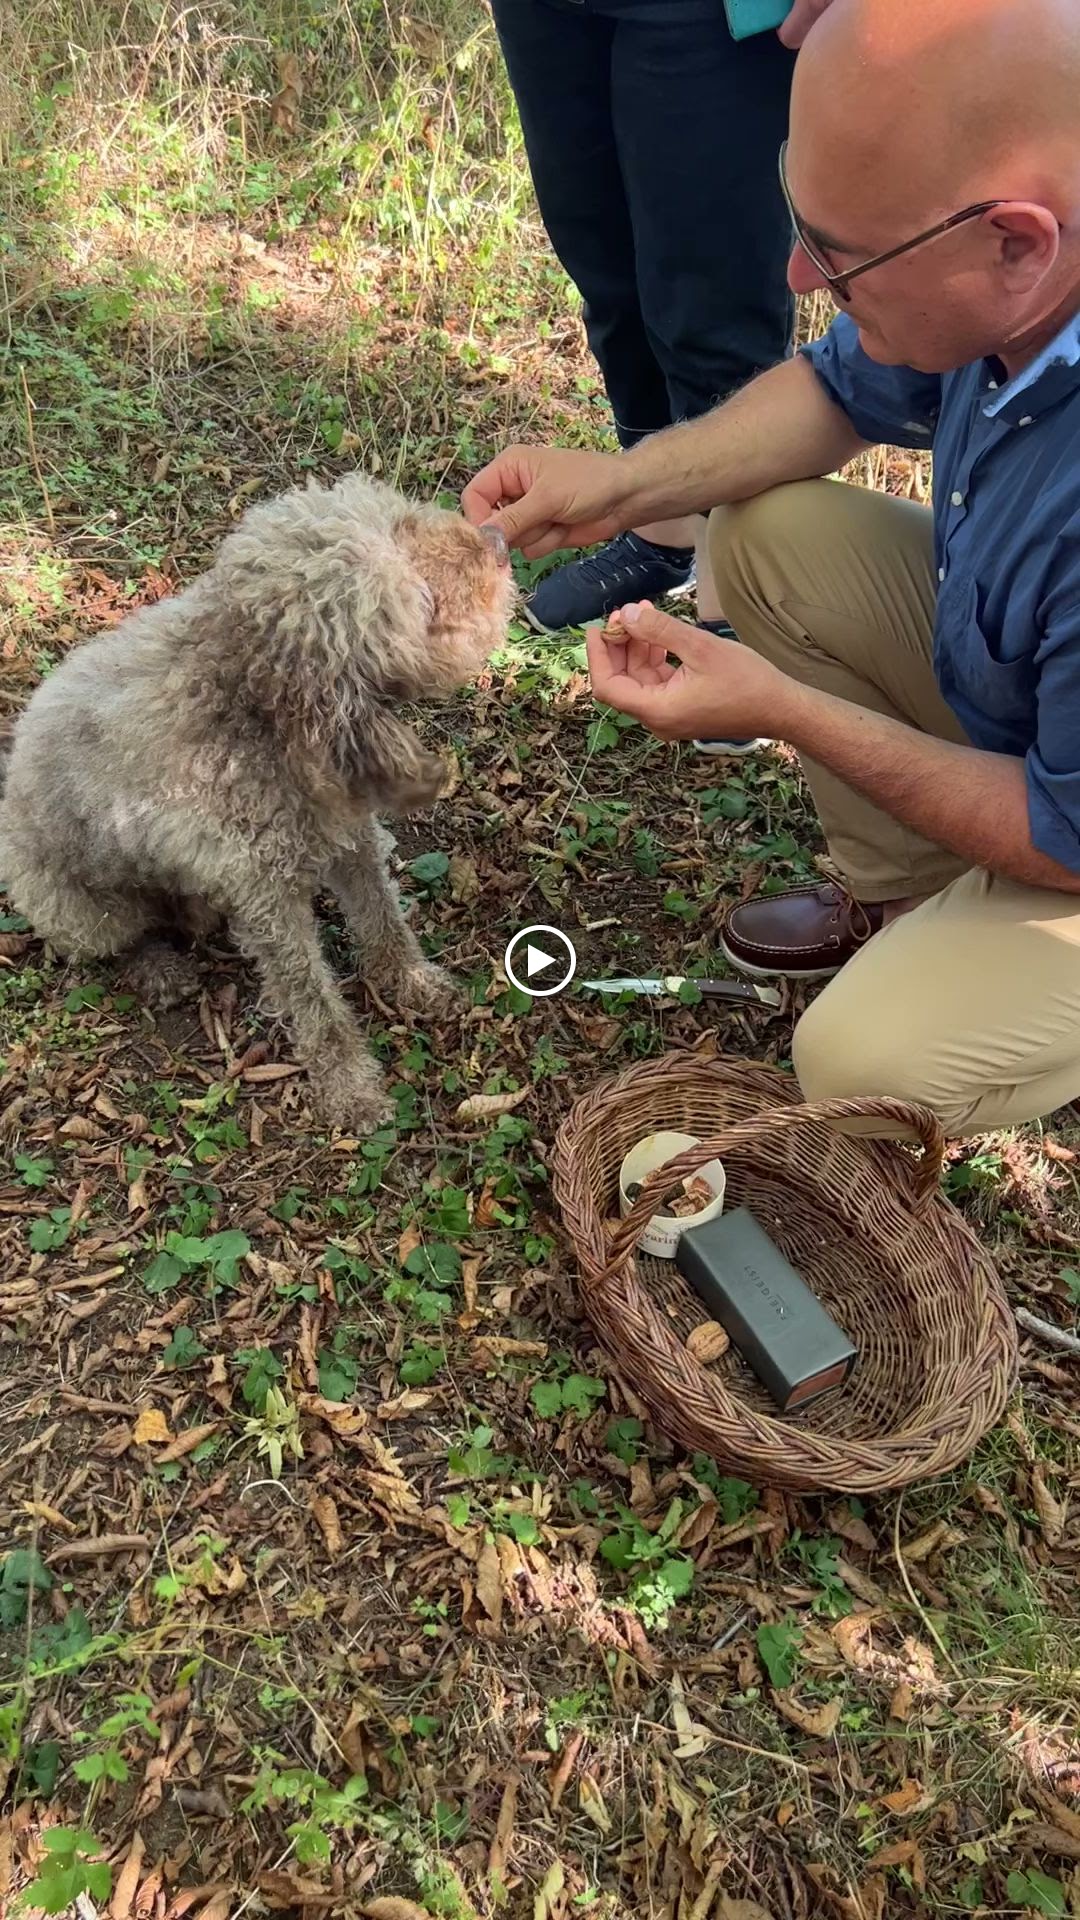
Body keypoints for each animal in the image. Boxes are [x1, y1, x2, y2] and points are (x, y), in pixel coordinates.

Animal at [0, 472, 514, 1129]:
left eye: (402, 519)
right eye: (420, 596)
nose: (499, 539)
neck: (261, 711)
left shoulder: (352, 841)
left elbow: (383, 921)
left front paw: (413, 983)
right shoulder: (267, 901)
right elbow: (313, 999)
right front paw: (350, 1088)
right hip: (77, 909)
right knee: (118, 940)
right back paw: (158, 968)